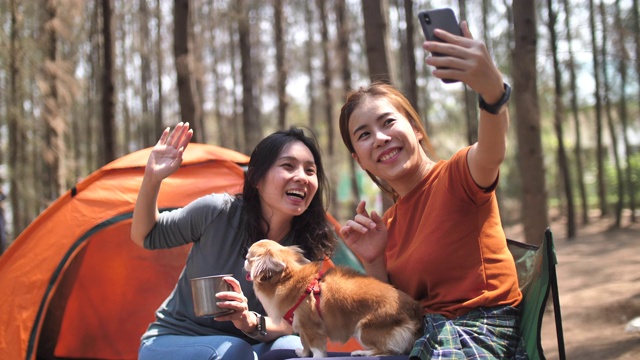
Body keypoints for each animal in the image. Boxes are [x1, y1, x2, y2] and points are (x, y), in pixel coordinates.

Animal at [245, 239, 424, 358]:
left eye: (248, 258)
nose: (244, 261)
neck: (287, 279)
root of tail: (414, 308)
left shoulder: (312, 326)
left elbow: (316, 347)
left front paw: (316, 358)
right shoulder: (302, 326)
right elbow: (304, 342)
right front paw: (303, 353)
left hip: (364, 329)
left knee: (390, 350)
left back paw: (363, 352)